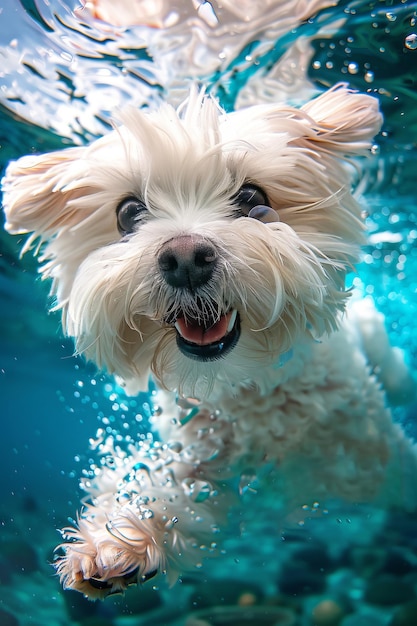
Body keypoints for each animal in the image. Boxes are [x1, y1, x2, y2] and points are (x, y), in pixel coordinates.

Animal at [1, 85, 414, 596]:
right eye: (128, 213)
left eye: (253, 197)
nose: (185, 258)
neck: (248, 389)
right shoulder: (196, 448)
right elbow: (166, 485)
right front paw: (119, 537)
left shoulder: (374, 456)